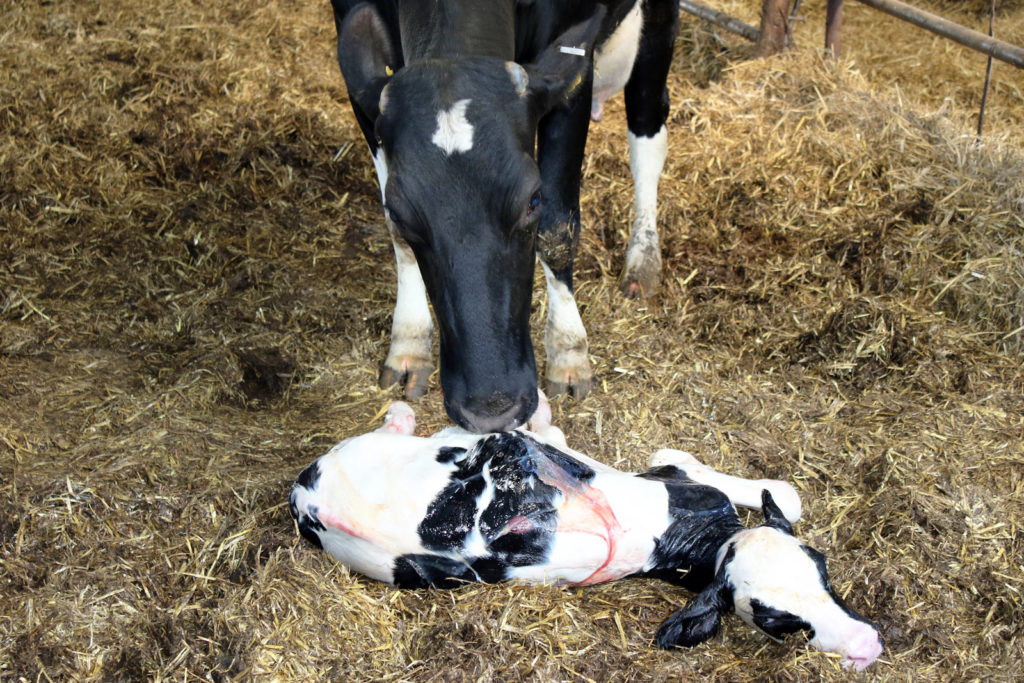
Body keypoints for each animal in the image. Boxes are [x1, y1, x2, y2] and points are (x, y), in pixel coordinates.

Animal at [329, 1, 679, 432]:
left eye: (533, 199)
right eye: (400, 212)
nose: (492, 409)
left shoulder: (570, 66)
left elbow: (558, 228)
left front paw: (568, 350)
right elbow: (396, 235)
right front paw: (409, 340)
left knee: (648, 127)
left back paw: (643, 260)